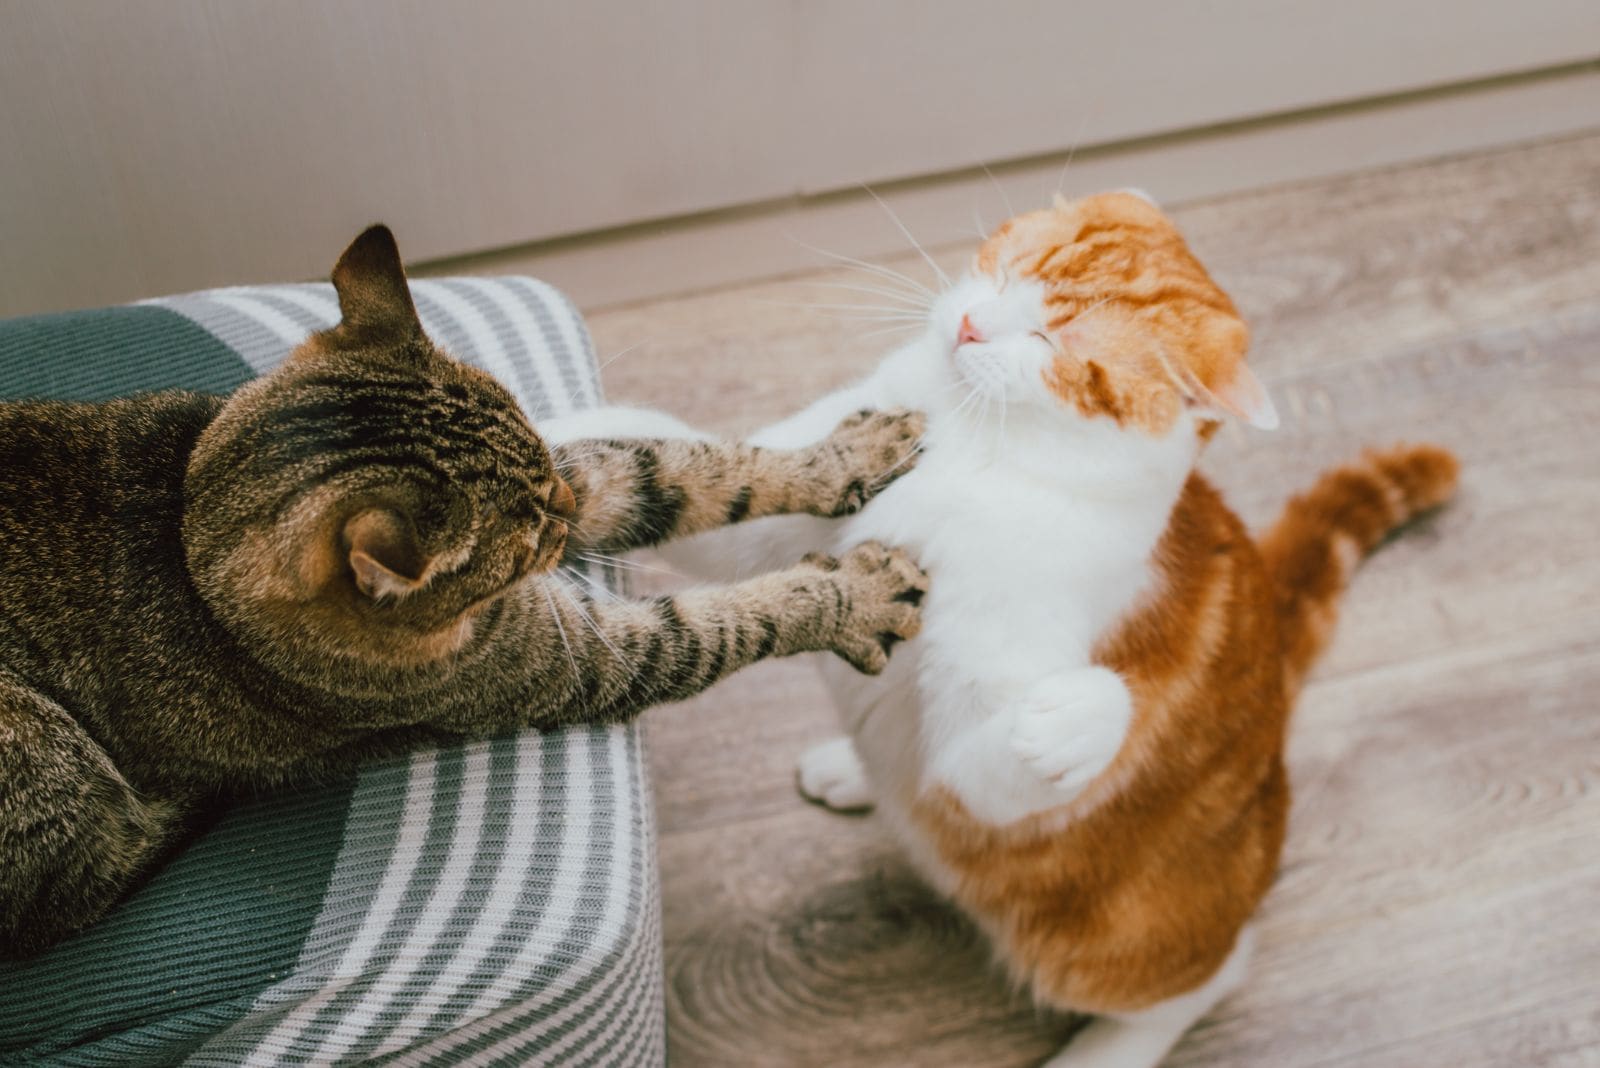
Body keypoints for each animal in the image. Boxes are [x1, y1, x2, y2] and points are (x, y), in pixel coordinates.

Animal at [0, 227, 928, 959]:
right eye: (523, 537)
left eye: (544, 474)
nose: (565, 510)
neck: (189, 533)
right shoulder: (584, 660)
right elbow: (729, 622)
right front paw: (856, 596)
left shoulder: (586, 475)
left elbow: (686, 470)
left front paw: (840, 458)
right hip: (44, 748)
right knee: (80, 891)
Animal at [566, 194, 1465, 1068]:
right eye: (1007, 270)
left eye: (1052, 341)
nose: (970, 325)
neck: (972, 448)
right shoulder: (775, 528)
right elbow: (692, 472)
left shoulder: (976, 761)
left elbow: (1006, 758)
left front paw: (1083, 718)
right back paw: (853, 768)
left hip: (1105, 952)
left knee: (1215, 975)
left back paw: (1103, 1050)